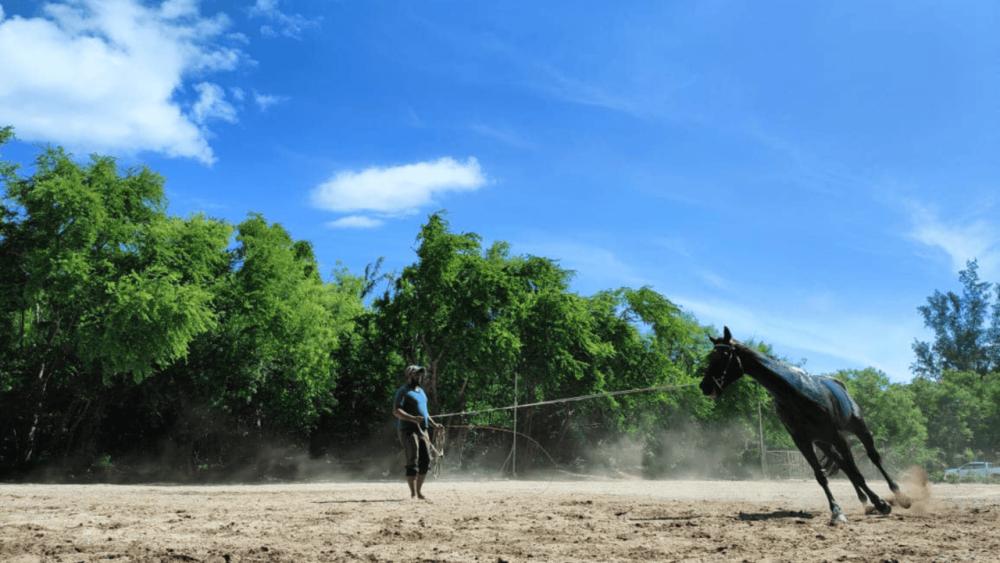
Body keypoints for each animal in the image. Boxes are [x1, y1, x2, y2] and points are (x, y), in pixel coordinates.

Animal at [699, 326, 911, 524]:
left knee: (873, 458)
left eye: (723, 355)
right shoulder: (802, 440)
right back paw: (867, 501)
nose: (704, 386)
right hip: (823, 443)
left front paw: (882, 504)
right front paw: (837, 511)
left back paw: (898, 496)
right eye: (711, 355)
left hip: (857, 429)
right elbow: (822, 475)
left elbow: (857, 472)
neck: (796, 394)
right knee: (844, 465)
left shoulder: (837, 436)